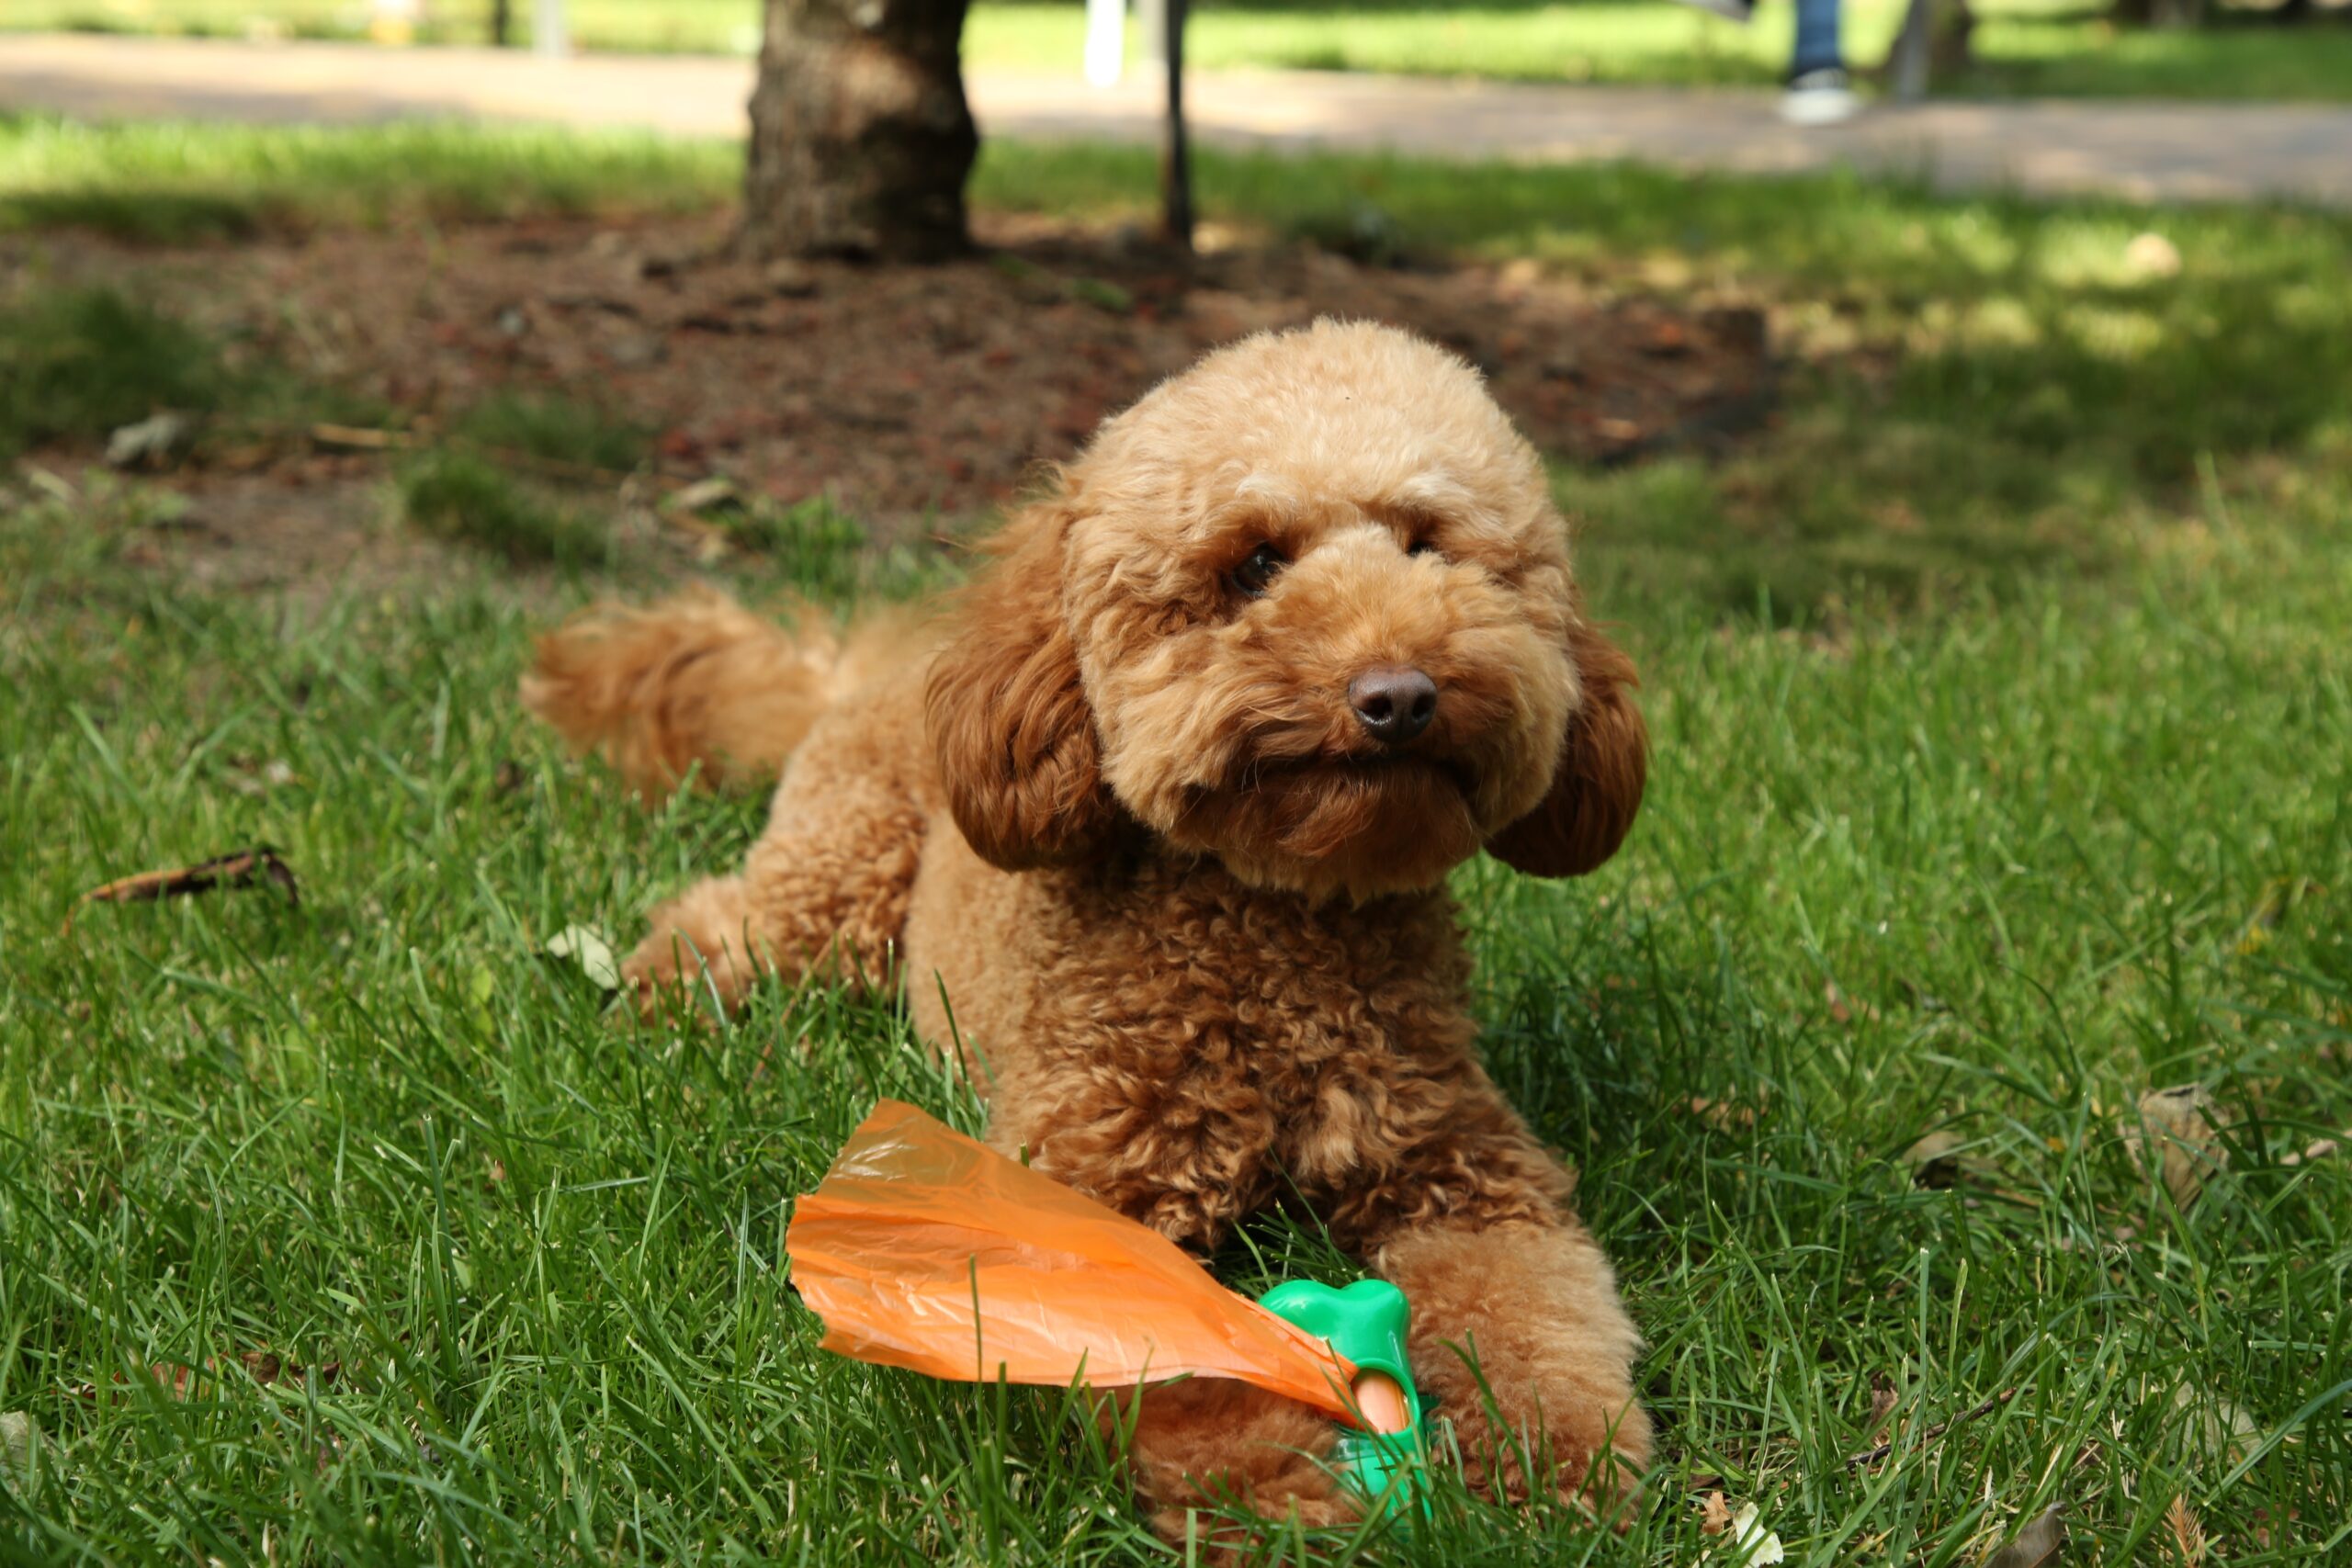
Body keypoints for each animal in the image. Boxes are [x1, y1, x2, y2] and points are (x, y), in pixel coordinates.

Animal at [524, 314, 1656, 1532]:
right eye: (1255, 564)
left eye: (1429, 546)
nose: (1397, 695)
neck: (1278, 937)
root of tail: (874, 675)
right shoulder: (1076, 1193)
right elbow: (1155, 1343)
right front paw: (1266, 1480)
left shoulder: (1466, 1170)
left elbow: (1537, 1303)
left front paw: (1553, 1449)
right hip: (838, 884)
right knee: (734, 915)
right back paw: (661, 988)